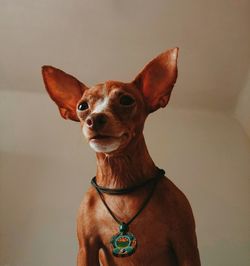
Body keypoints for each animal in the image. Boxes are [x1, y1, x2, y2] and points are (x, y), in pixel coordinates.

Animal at [41, 48, 201, 266]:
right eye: (82, 106)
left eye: (126, 100)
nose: (94, 119)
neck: (120, 184)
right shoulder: (86, 249)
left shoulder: (185, 245)